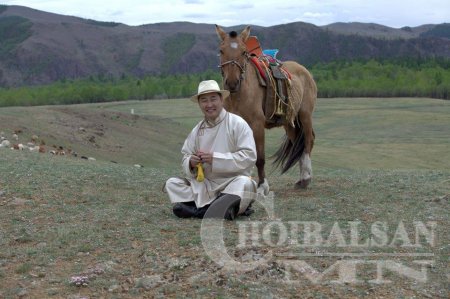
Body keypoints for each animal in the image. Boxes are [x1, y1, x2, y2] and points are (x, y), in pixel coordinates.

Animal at [214, 25, 316, 190]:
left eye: (243, 52)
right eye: (221, 50)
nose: (232, 83)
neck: (239, 95)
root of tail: (305, 71)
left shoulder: (257, 124)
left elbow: (260, 157)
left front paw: (263, 185)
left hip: (305, 115)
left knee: (308, 141)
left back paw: (306, 177)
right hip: (289, 122)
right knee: (297, 145)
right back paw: (301, 179)